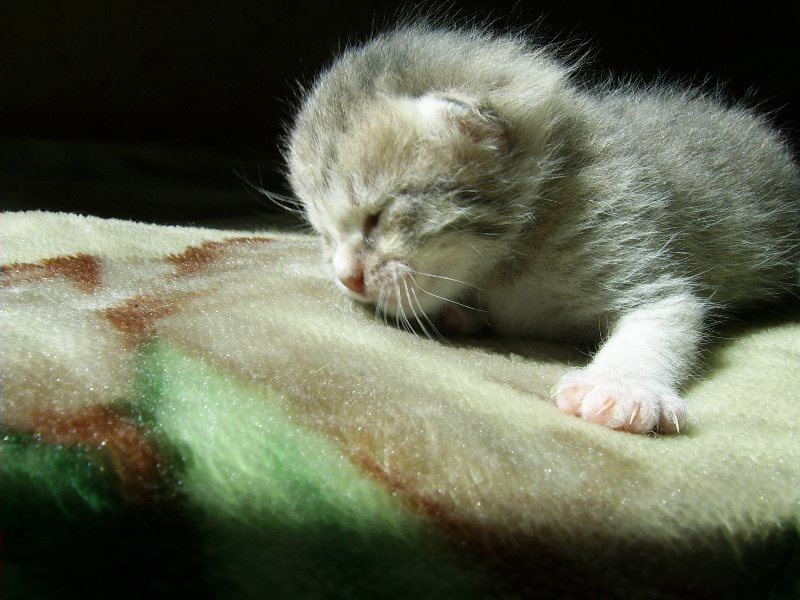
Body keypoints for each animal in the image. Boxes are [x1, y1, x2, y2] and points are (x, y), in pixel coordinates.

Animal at [284, 24, 800, 434]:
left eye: (377, 217)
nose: (347, 278)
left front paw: (620, 388)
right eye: (323, 235)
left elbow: (665, 316)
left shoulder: (632, 241)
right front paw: (461, 313)